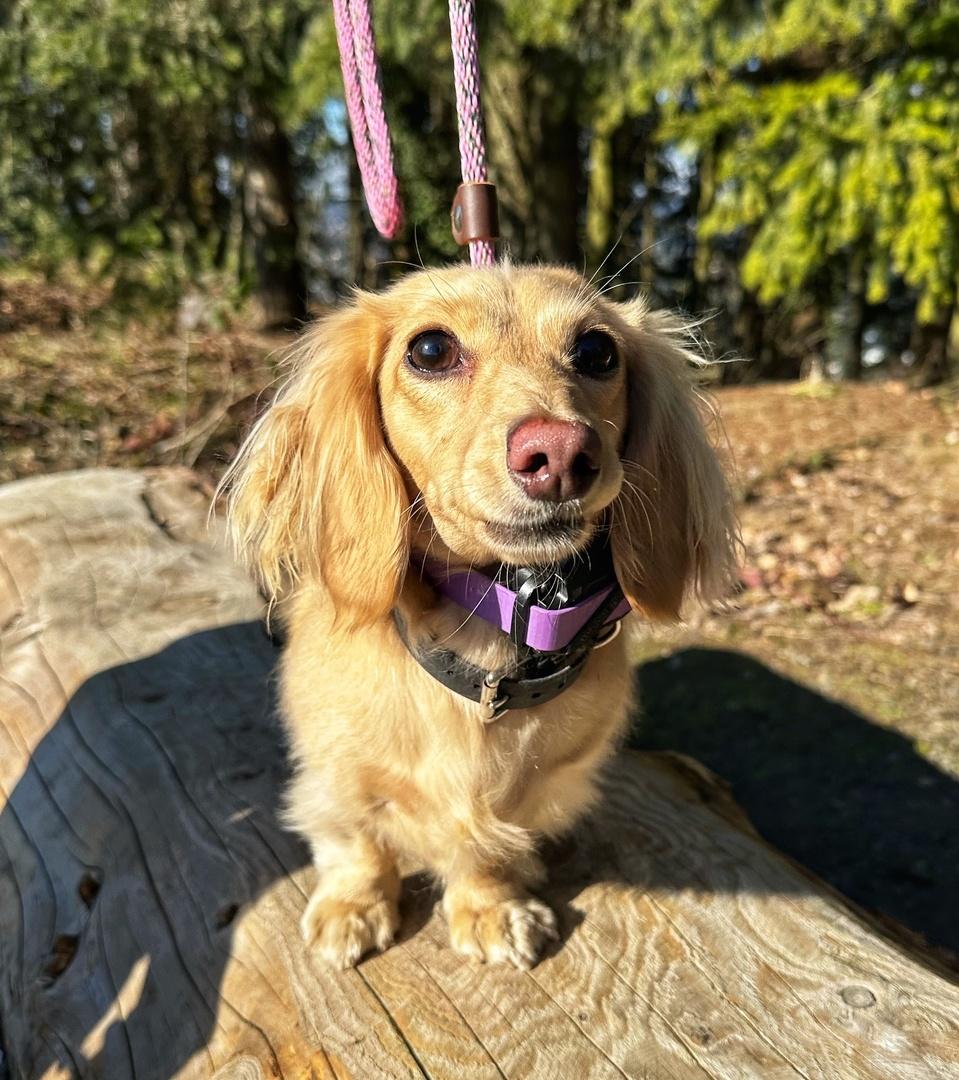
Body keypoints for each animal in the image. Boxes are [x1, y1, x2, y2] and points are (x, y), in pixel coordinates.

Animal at [225, 263, 736, 970]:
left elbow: (488, 844)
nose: (559, 454)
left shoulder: (533, 790)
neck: (485, 638)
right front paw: (354, 905)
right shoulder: (334, 770)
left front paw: (490, 906)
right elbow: (356, 838)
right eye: (430, 350)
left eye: (597, 351)